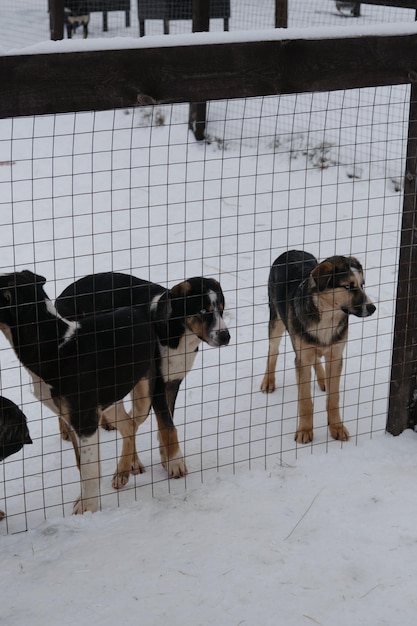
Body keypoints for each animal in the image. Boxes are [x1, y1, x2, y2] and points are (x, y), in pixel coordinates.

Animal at [0, 270, 155, 512]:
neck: (53, 347)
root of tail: (138, 310)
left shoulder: (85, 422)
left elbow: (89, 473)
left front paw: (88, 510)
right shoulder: (71, 417)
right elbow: (82, 466)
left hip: (143, 396)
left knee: (133, 423)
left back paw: (125, 469)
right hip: (109, 402)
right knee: (128, 425)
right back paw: (123, 471)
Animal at [54, 270, 231, 486]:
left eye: (222, 310)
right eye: (203, 310)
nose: (225, 336)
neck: (177, 335)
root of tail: (62, 296)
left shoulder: (173, 382)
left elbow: (161, 423)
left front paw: (164, 458)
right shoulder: (157, 386)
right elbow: (167, 426)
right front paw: (174, 463)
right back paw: (66, 430)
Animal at [260, 250, 374, 444]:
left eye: (362, 284)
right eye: (348, 286)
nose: (372, 308)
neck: (327, 317)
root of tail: (291, 251)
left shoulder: (336, 356)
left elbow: (334, 398)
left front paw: (336, 427)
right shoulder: (302, 358)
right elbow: (305, 401)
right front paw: (305, 430)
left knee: (316, 356)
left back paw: (322, 380)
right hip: (276, 320)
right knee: (273, 350)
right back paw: (269, 381)